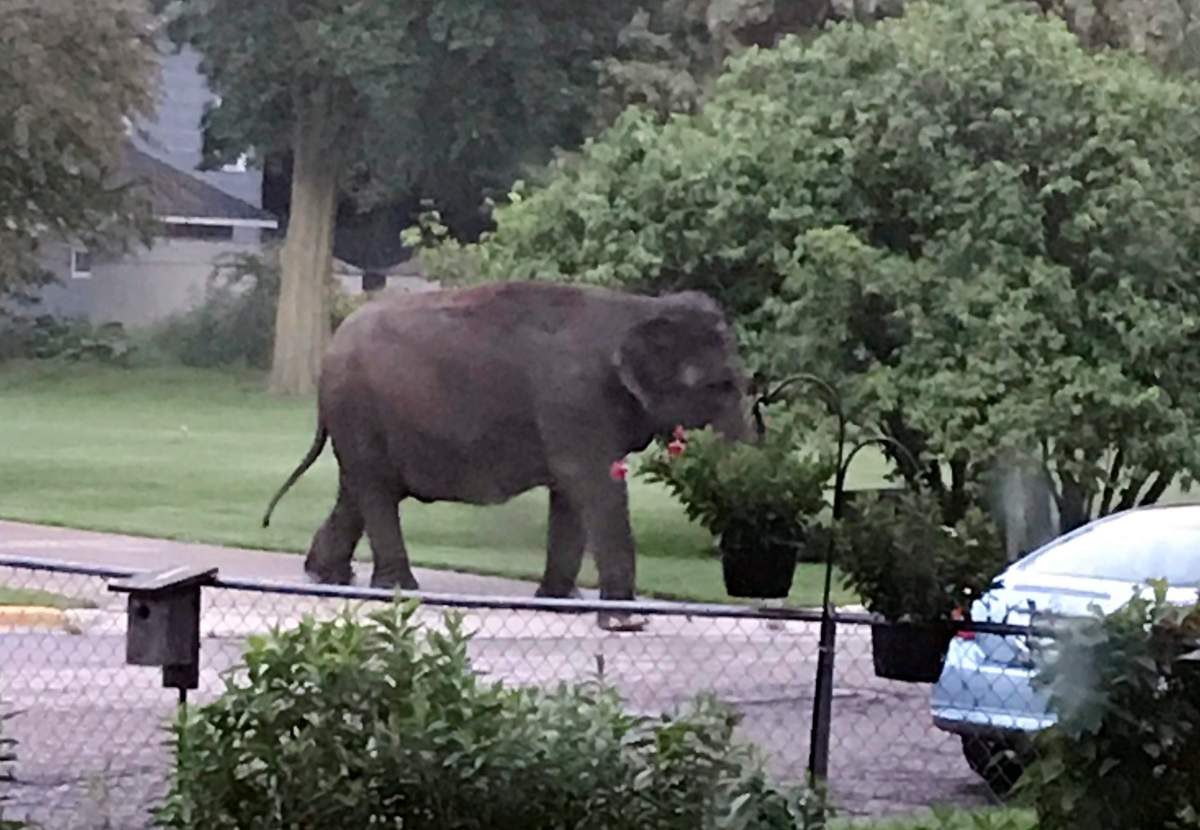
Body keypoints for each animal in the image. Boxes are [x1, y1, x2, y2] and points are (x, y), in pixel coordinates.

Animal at [261, 281, 750, 625]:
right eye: (722, 385)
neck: (641, 307)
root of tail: (329, 352)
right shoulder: (576, 400)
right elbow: (592, 485)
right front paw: (623, 623)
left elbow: (571, 495)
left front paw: (561, 603)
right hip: (359, 409)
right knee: (375, 492)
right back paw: (397, 591)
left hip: (360, 418)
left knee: (358, 490)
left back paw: (328, 579)